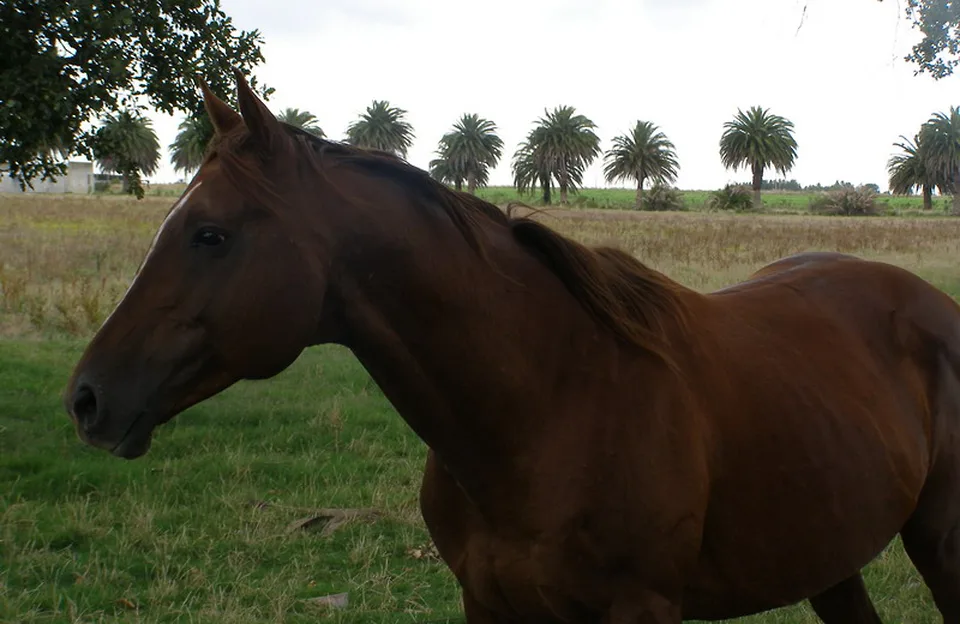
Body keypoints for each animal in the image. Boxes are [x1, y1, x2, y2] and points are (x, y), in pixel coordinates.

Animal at [64, 70, 960, 623]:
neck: (553, 405)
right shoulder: (490, 603)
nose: (87, 398)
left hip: (936, 540)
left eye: (210, 234)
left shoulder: (642, 606)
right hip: (829, 553)